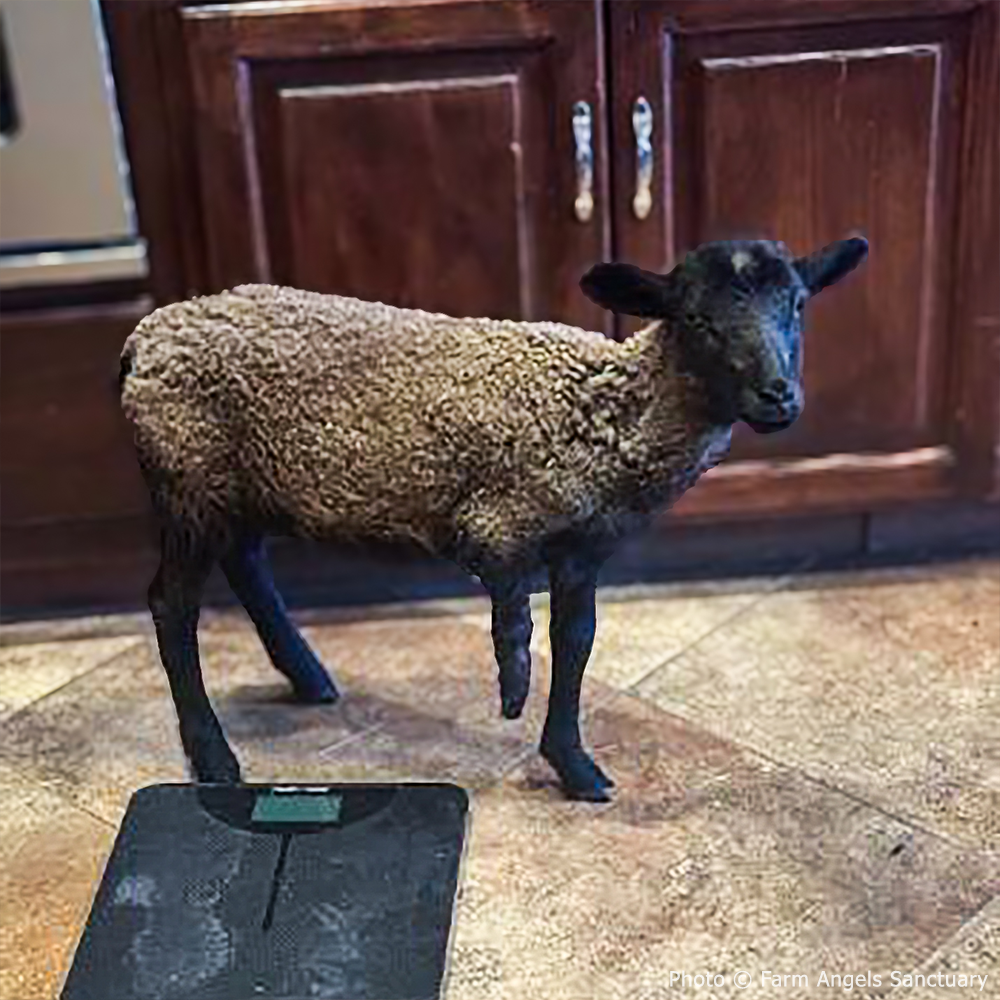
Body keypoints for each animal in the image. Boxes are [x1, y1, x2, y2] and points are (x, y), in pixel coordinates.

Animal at [119, 236, 868, 801]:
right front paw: (512, 684)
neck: (609, 411)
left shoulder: (583, 552)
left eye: (798, 306)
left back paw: (308, 677)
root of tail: (145, 336)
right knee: (170, 605)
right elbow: (514, 609)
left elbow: (577, 643)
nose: (779, 397)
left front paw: (574, 766)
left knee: (246, 566)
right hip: (187, 480)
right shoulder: (498, 522)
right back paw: (214, 758)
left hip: (237, 487)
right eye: (696, 320)